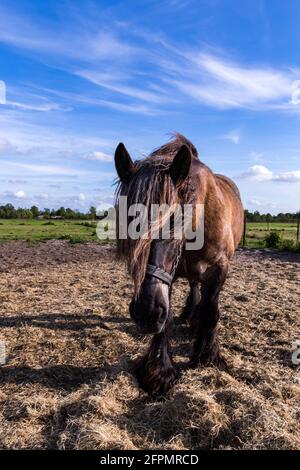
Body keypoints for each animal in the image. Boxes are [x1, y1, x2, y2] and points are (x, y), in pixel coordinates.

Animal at [113, 134, 243, 394]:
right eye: (127, 219)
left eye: (174, 219)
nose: (146, 313)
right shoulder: (168, 276)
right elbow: (167, 319)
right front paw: (159, 371)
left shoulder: (220, 269)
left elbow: (211, 311)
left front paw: (207, 356)